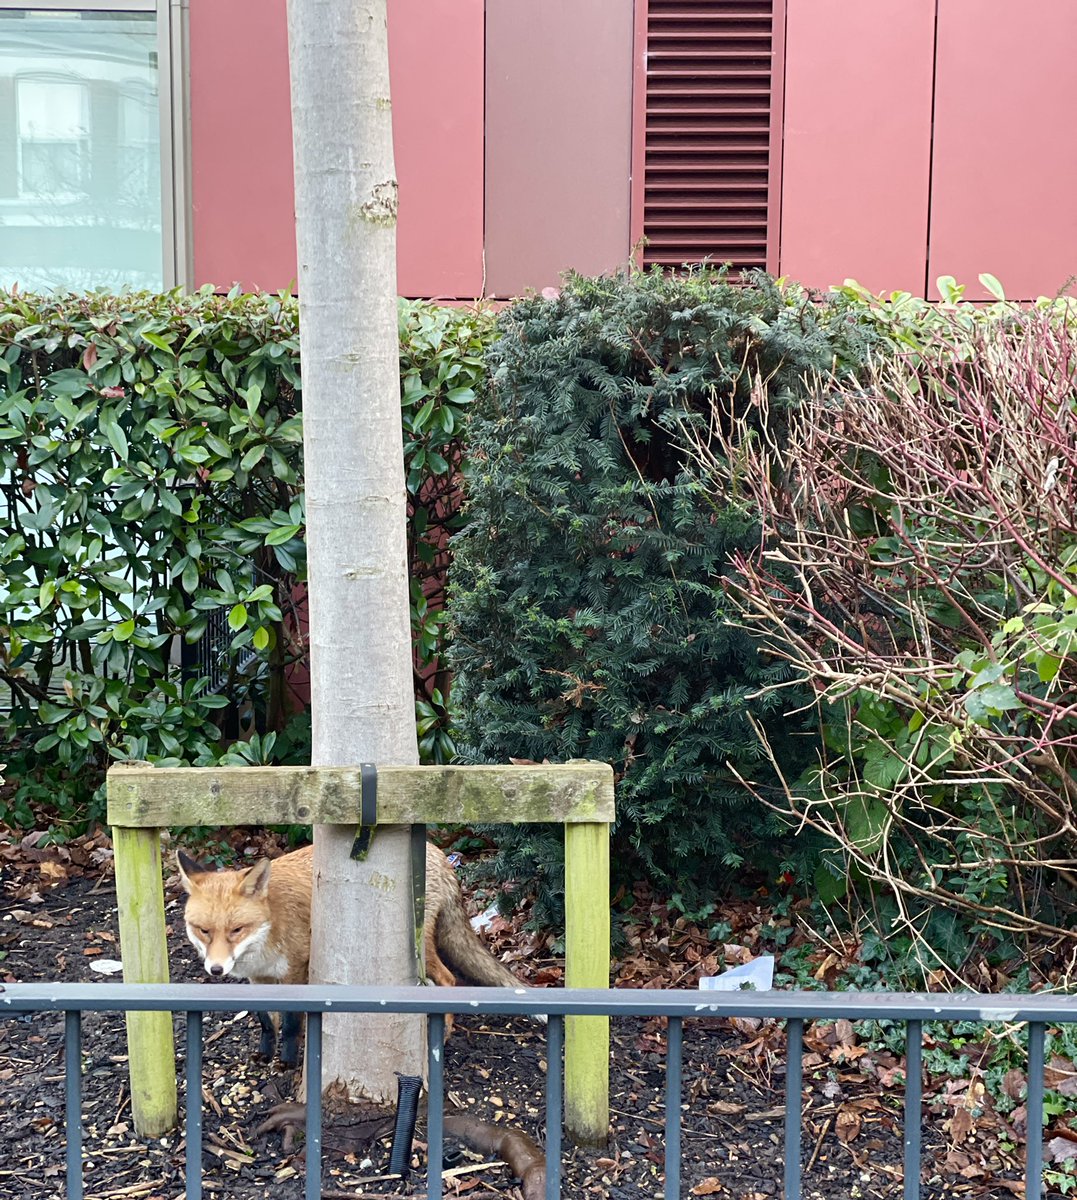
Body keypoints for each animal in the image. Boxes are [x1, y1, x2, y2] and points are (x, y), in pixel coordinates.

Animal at [176, 840, 535, 1067]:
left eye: (236, 930)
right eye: (203, 930)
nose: (216, 970)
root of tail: (437, 851)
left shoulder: (294, 971)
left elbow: (290, 1022)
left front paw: (287, 1062)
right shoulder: (257, 978)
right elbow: (267, 1021)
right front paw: (265, 1054)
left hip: (419, 946)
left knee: (448, 980)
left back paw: (442, 1035)